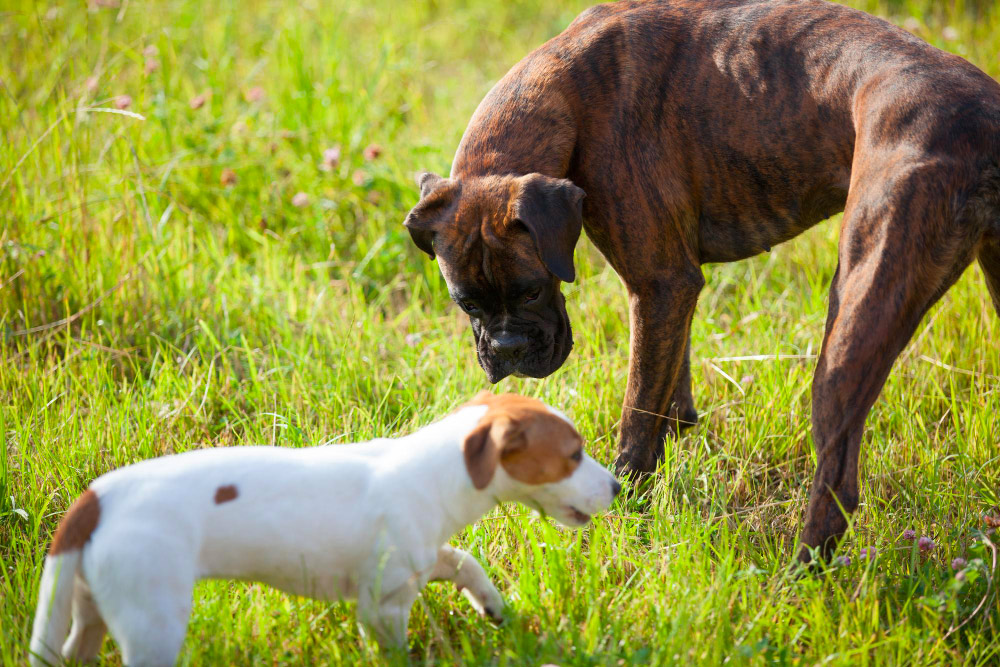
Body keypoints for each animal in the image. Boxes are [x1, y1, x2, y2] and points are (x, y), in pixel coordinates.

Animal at [29, 394, 616, 664]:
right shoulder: (381, 607)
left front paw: (493, 607)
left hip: (88, 610)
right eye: (573, 454)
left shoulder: (424, 557)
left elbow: (465, 562)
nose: (617, 487)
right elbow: (395, 651)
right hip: (153, 622)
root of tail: (96, 500)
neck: (435, 469)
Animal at [404, 0, 1000, 564]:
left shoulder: (658, 286)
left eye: (531, 288)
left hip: (853, 327)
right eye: (467, 305)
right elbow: (670, 390)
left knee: (837, 484)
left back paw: (797, 577)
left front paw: (622, 513)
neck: (565, 94)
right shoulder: (671, 293)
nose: (507, 349)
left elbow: (637, 417)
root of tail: (984, 119)